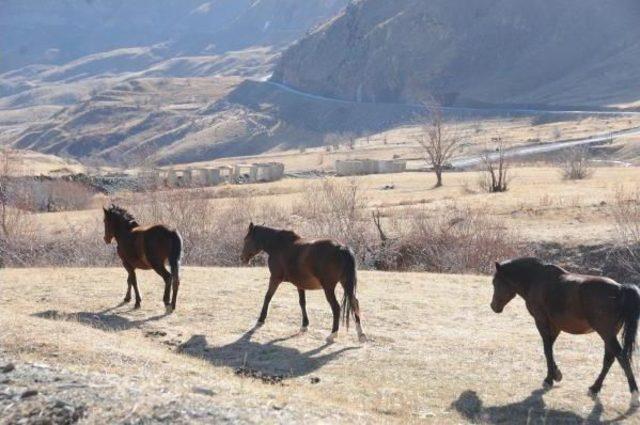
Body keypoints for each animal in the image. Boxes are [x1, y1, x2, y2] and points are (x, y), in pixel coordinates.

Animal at [490, 256, 640, 406]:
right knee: (609, 359)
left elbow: (547, 349)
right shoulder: (555, 326)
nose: (493, 306)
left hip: (606, 334)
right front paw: (556, 374)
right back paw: (594, 388)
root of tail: (620, 289)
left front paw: (549, 379)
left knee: (621, 357)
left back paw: (633, 394)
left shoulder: (541, 321)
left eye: (495, 282)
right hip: (609, 335)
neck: (536, 279)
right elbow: (549, 347)